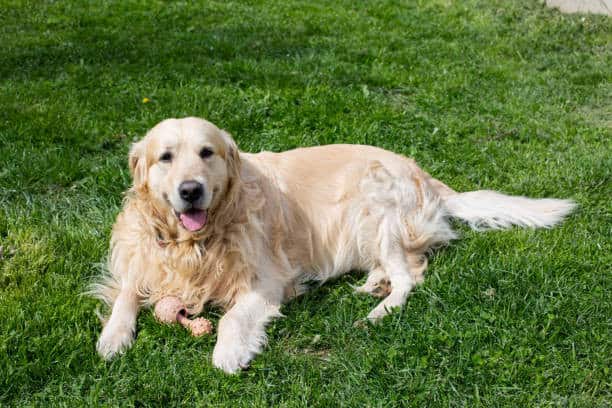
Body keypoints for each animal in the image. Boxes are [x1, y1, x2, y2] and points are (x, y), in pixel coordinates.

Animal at [91, 115, 572, 372]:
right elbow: (129, 293)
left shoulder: (267, 281)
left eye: (207, 153)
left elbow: (232, 318)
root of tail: (427, 176)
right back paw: (375, 285)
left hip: (375, 203)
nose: (190, 191)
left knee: (411, 277)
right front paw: (113, 337)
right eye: (165, 157)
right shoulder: (144, 258)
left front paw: (228, 352)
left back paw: (378, 311)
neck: (193, 243)